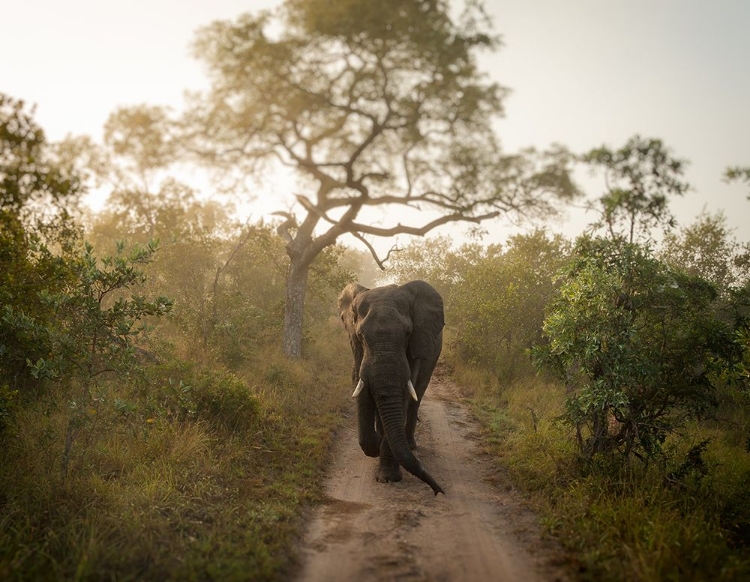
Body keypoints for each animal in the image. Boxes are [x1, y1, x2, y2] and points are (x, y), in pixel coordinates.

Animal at [338, 280, 444, 496]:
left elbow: (403, 397)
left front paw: (388, 478)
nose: (438, 490)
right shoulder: (357, 349)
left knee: (417, 397)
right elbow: (359, 384)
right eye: (361, 335)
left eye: (407, 334)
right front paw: (375, 445)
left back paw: (410, 445)